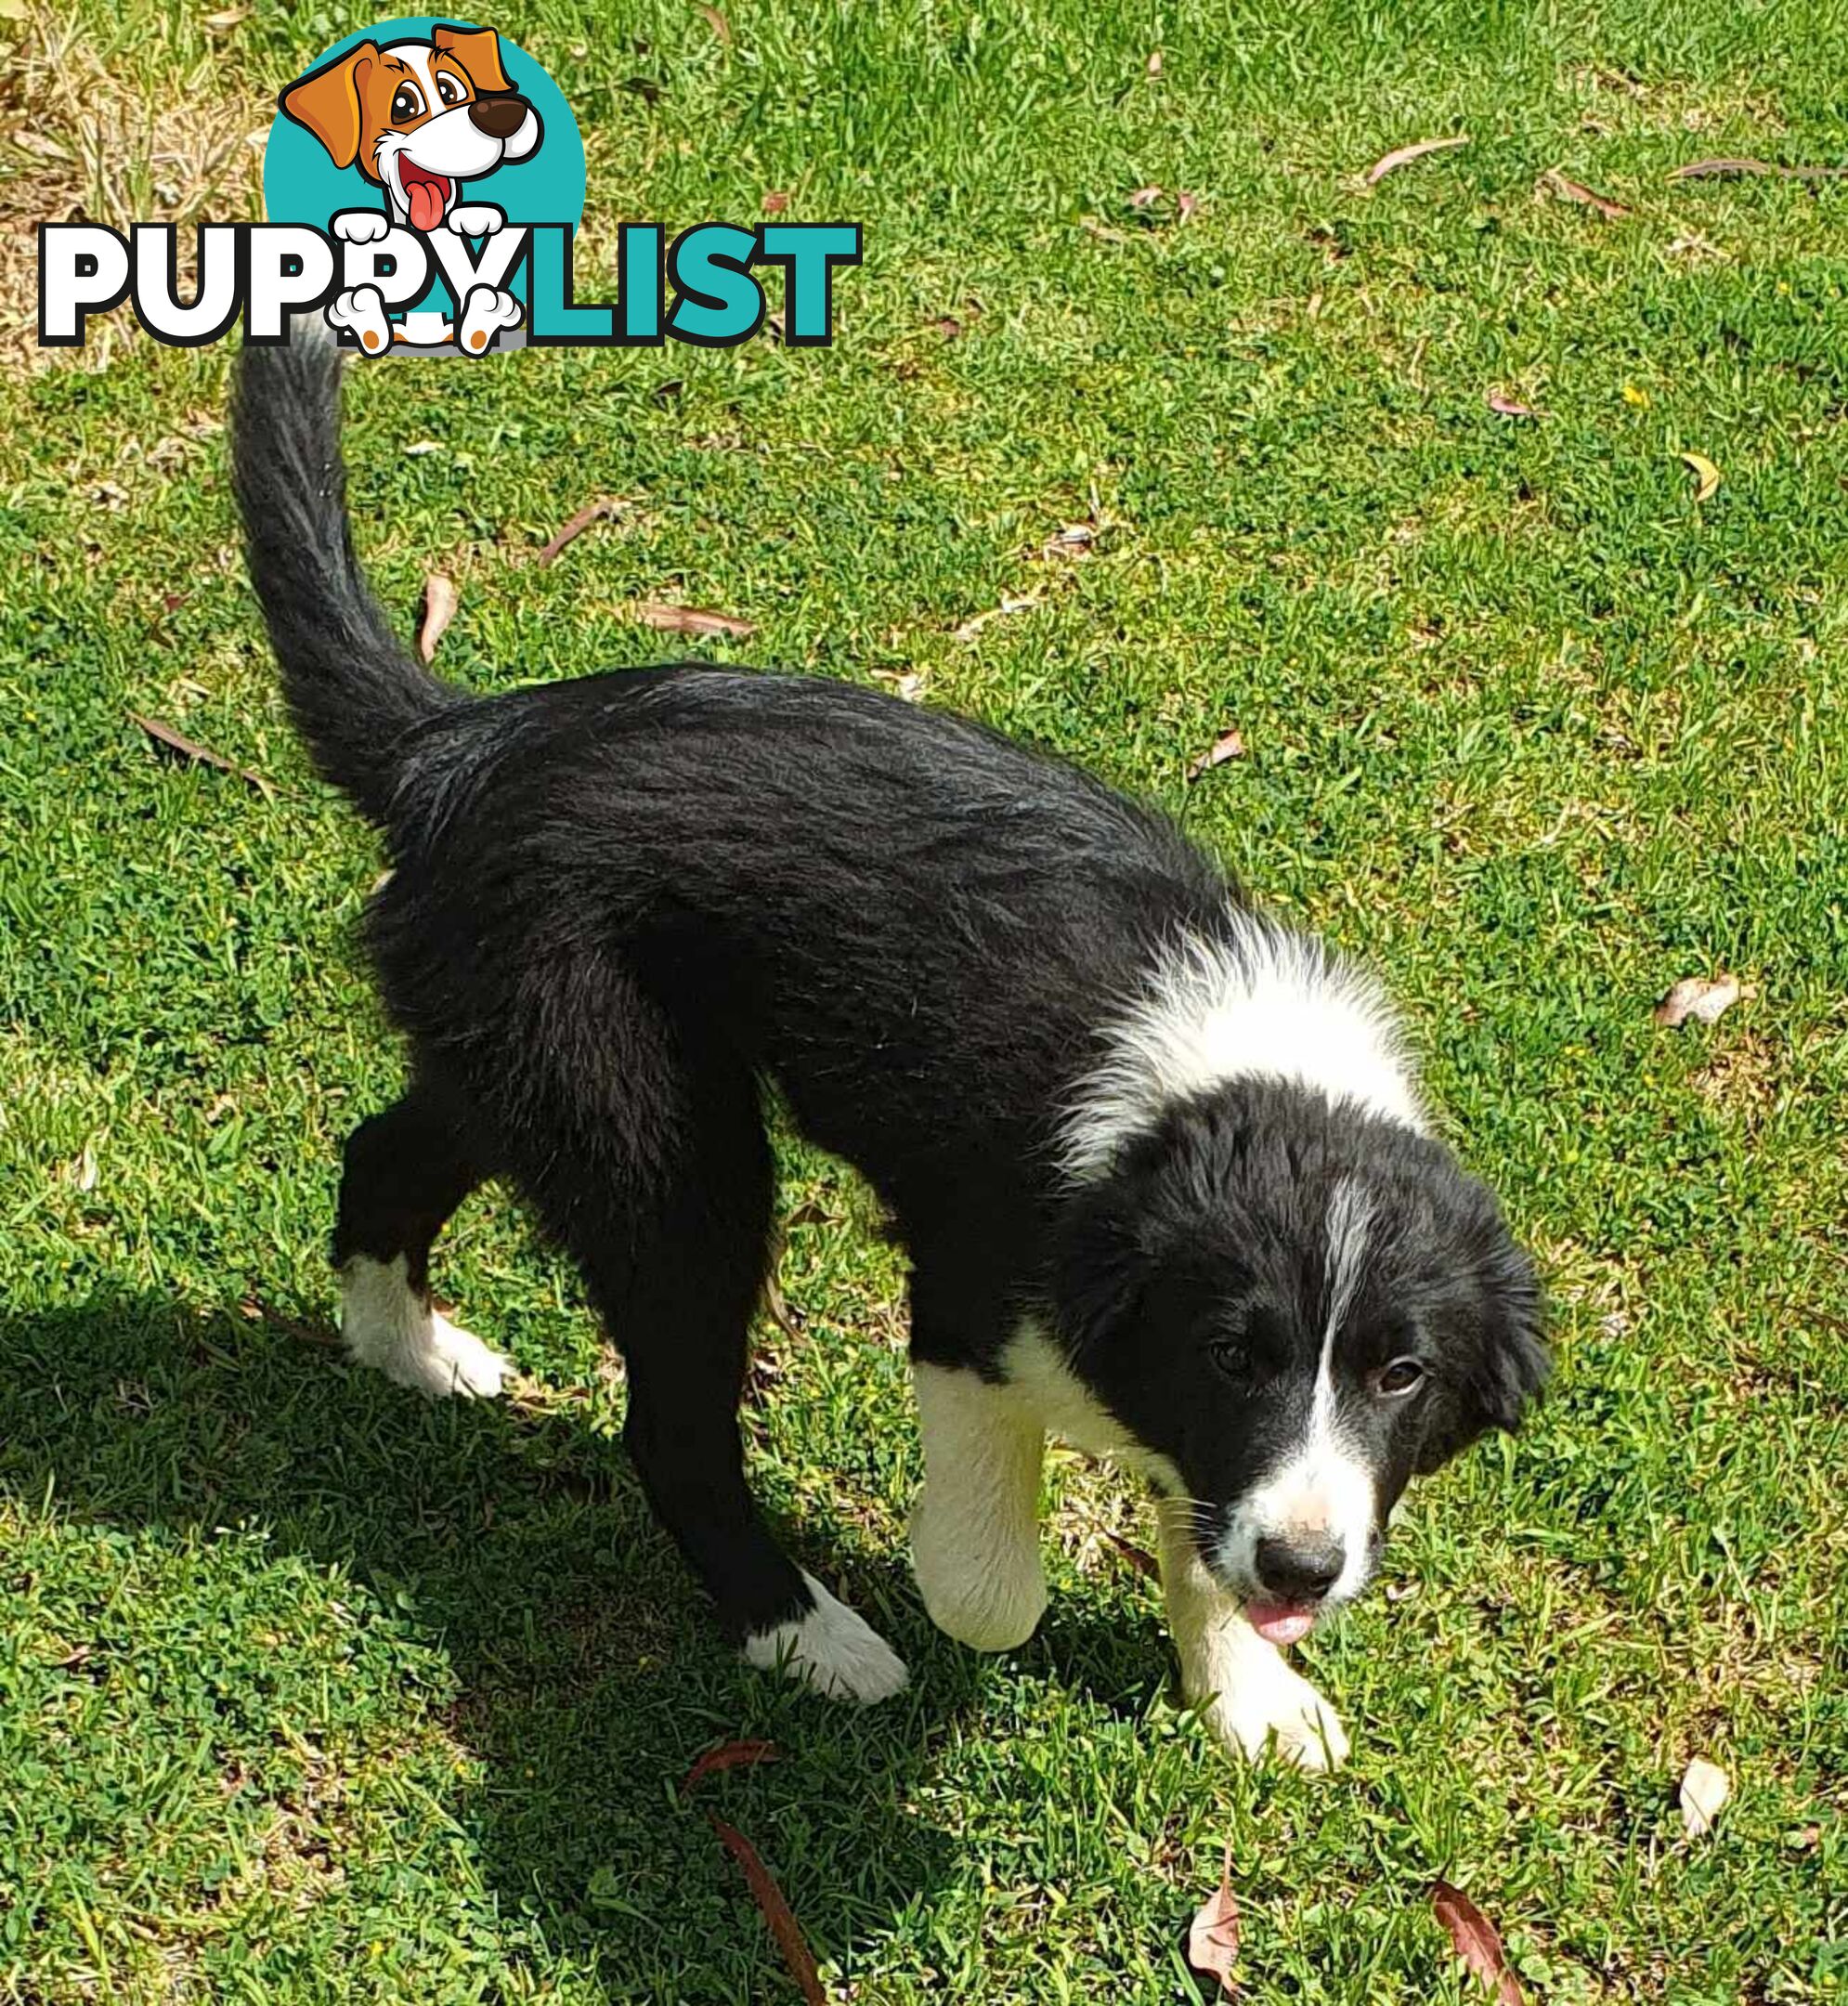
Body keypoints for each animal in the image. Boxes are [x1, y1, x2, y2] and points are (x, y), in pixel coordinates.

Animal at [238, 336, 1549, 1765]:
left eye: (1400, 1374)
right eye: (1235, 1354)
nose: (1305, 1572)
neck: (1239, 1090)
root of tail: (459, 746)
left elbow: (1201, 1518)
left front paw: (1245, 1694)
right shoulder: (976, 1293)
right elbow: (998, 1590)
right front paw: (967, 1595)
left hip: (528, 1054)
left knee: (388, 1149)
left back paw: (407, 1348)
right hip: (655, 1131)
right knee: (669, 1420)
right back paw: (804, 1633)